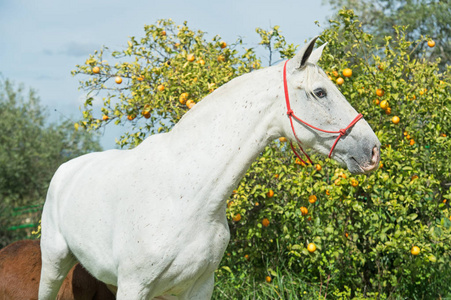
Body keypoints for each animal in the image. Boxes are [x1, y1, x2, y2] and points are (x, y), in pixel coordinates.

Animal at [38, 36, 382, 298]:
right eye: (320, 93)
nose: (373, 150)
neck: (189, 196)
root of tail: (65, 170)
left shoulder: (199, 287)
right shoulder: (134, 286)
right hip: (53, 265)